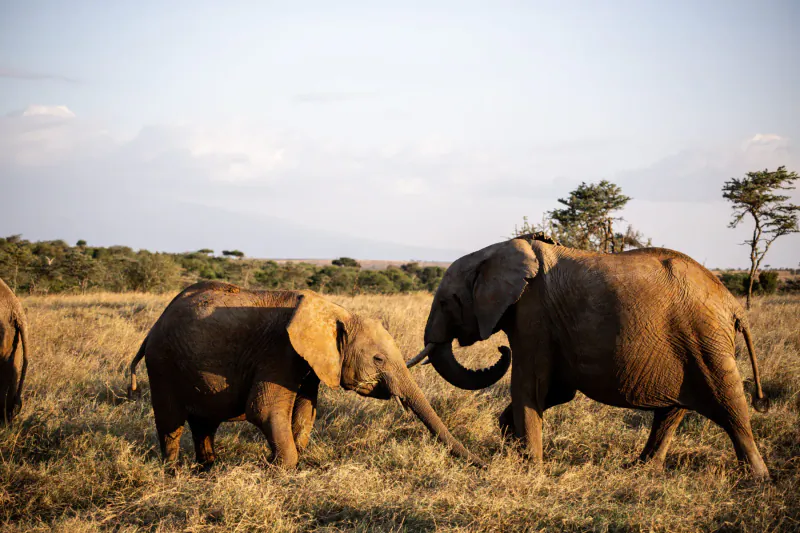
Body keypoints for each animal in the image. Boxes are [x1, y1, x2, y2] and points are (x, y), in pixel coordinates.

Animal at [127, 281, 482, 470]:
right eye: (378, 359)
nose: (483, 464)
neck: (336, 311)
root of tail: (153, 327)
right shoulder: (278, 350)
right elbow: (264, 410)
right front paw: (282, 467)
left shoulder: (310, 360)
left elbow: (306, 410)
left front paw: (297, 461)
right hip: (162, 363)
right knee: (171, 422)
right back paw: (173, 473)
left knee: (205, 423)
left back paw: (208, 468)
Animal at [406, 233, 770, 479]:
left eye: (445, 302)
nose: (501, 350)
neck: (493, 250)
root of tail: (733, 303)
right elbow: (555, 391)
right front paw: (511, 446)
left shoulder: (533, 314)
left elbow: (530, 386)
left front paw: (530, 468)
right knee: (672, 411)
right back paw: (640, 469)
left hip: (705, 338)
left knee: (729, 404)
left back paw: (756, 479)